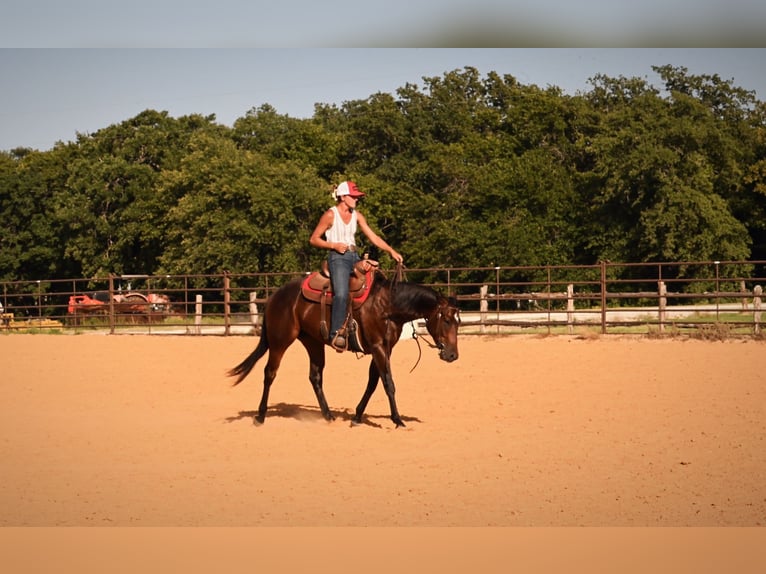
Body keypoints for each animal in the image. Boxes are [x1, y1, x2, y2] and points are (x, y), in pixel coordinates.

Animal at [227, 267, 460, 428]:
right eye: (447, 320)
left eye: (458, 322)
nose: (452, 355)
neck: (386, 306)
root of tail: (275, 296)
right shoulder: (378, 347)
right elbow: (388, 383)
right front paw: (398, 420)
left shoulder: (383, 349)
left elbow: (373, 383)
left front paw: (357, 416)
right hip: (280, 341)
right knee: (270, 373)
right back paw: (260, 416)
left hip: (313, 342)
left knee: (315, 376)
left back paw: (328, 415)